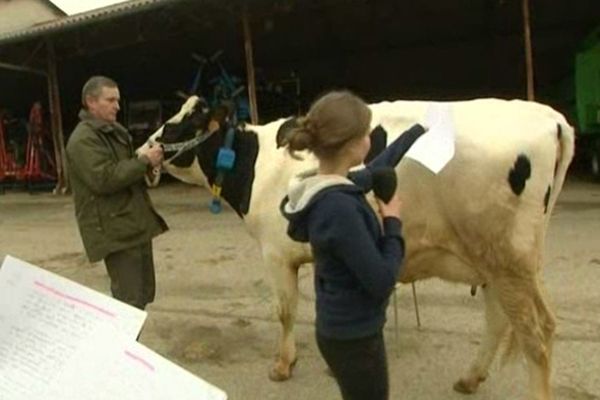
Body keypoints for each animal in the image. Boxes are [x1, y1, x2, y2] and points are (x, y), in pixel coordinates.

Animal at [141, 95, 576, 398]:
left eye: (178, 125)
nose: (144, 150)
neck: (258, 163)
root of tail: (547, 117)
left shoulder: (276, 254)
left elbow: (285, 311)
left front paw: (282, 365)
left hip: (507, 260)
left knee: (535, 335)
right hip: (500, 261)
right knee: (505, 320)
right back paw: (470, 378)